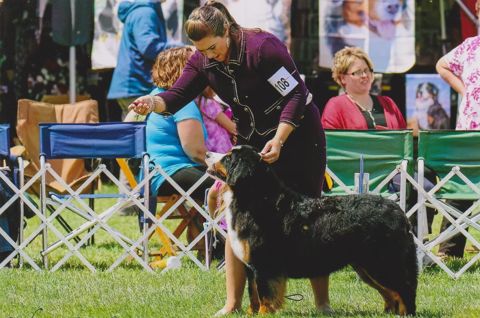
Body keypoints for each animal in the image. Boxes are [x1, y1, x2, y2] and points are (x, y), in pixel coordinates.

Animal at [205, 145, 416, 314]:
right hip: (367, 267)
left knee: (404, 291)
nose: (206, 153)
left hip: (382, 262)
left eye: (228, 158)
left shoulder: (265, 265)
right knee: (391, 294)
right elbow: (253, 296)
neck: (256, 199)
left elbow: (265, 298)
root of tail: (398, 211)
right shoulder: (251, 267)